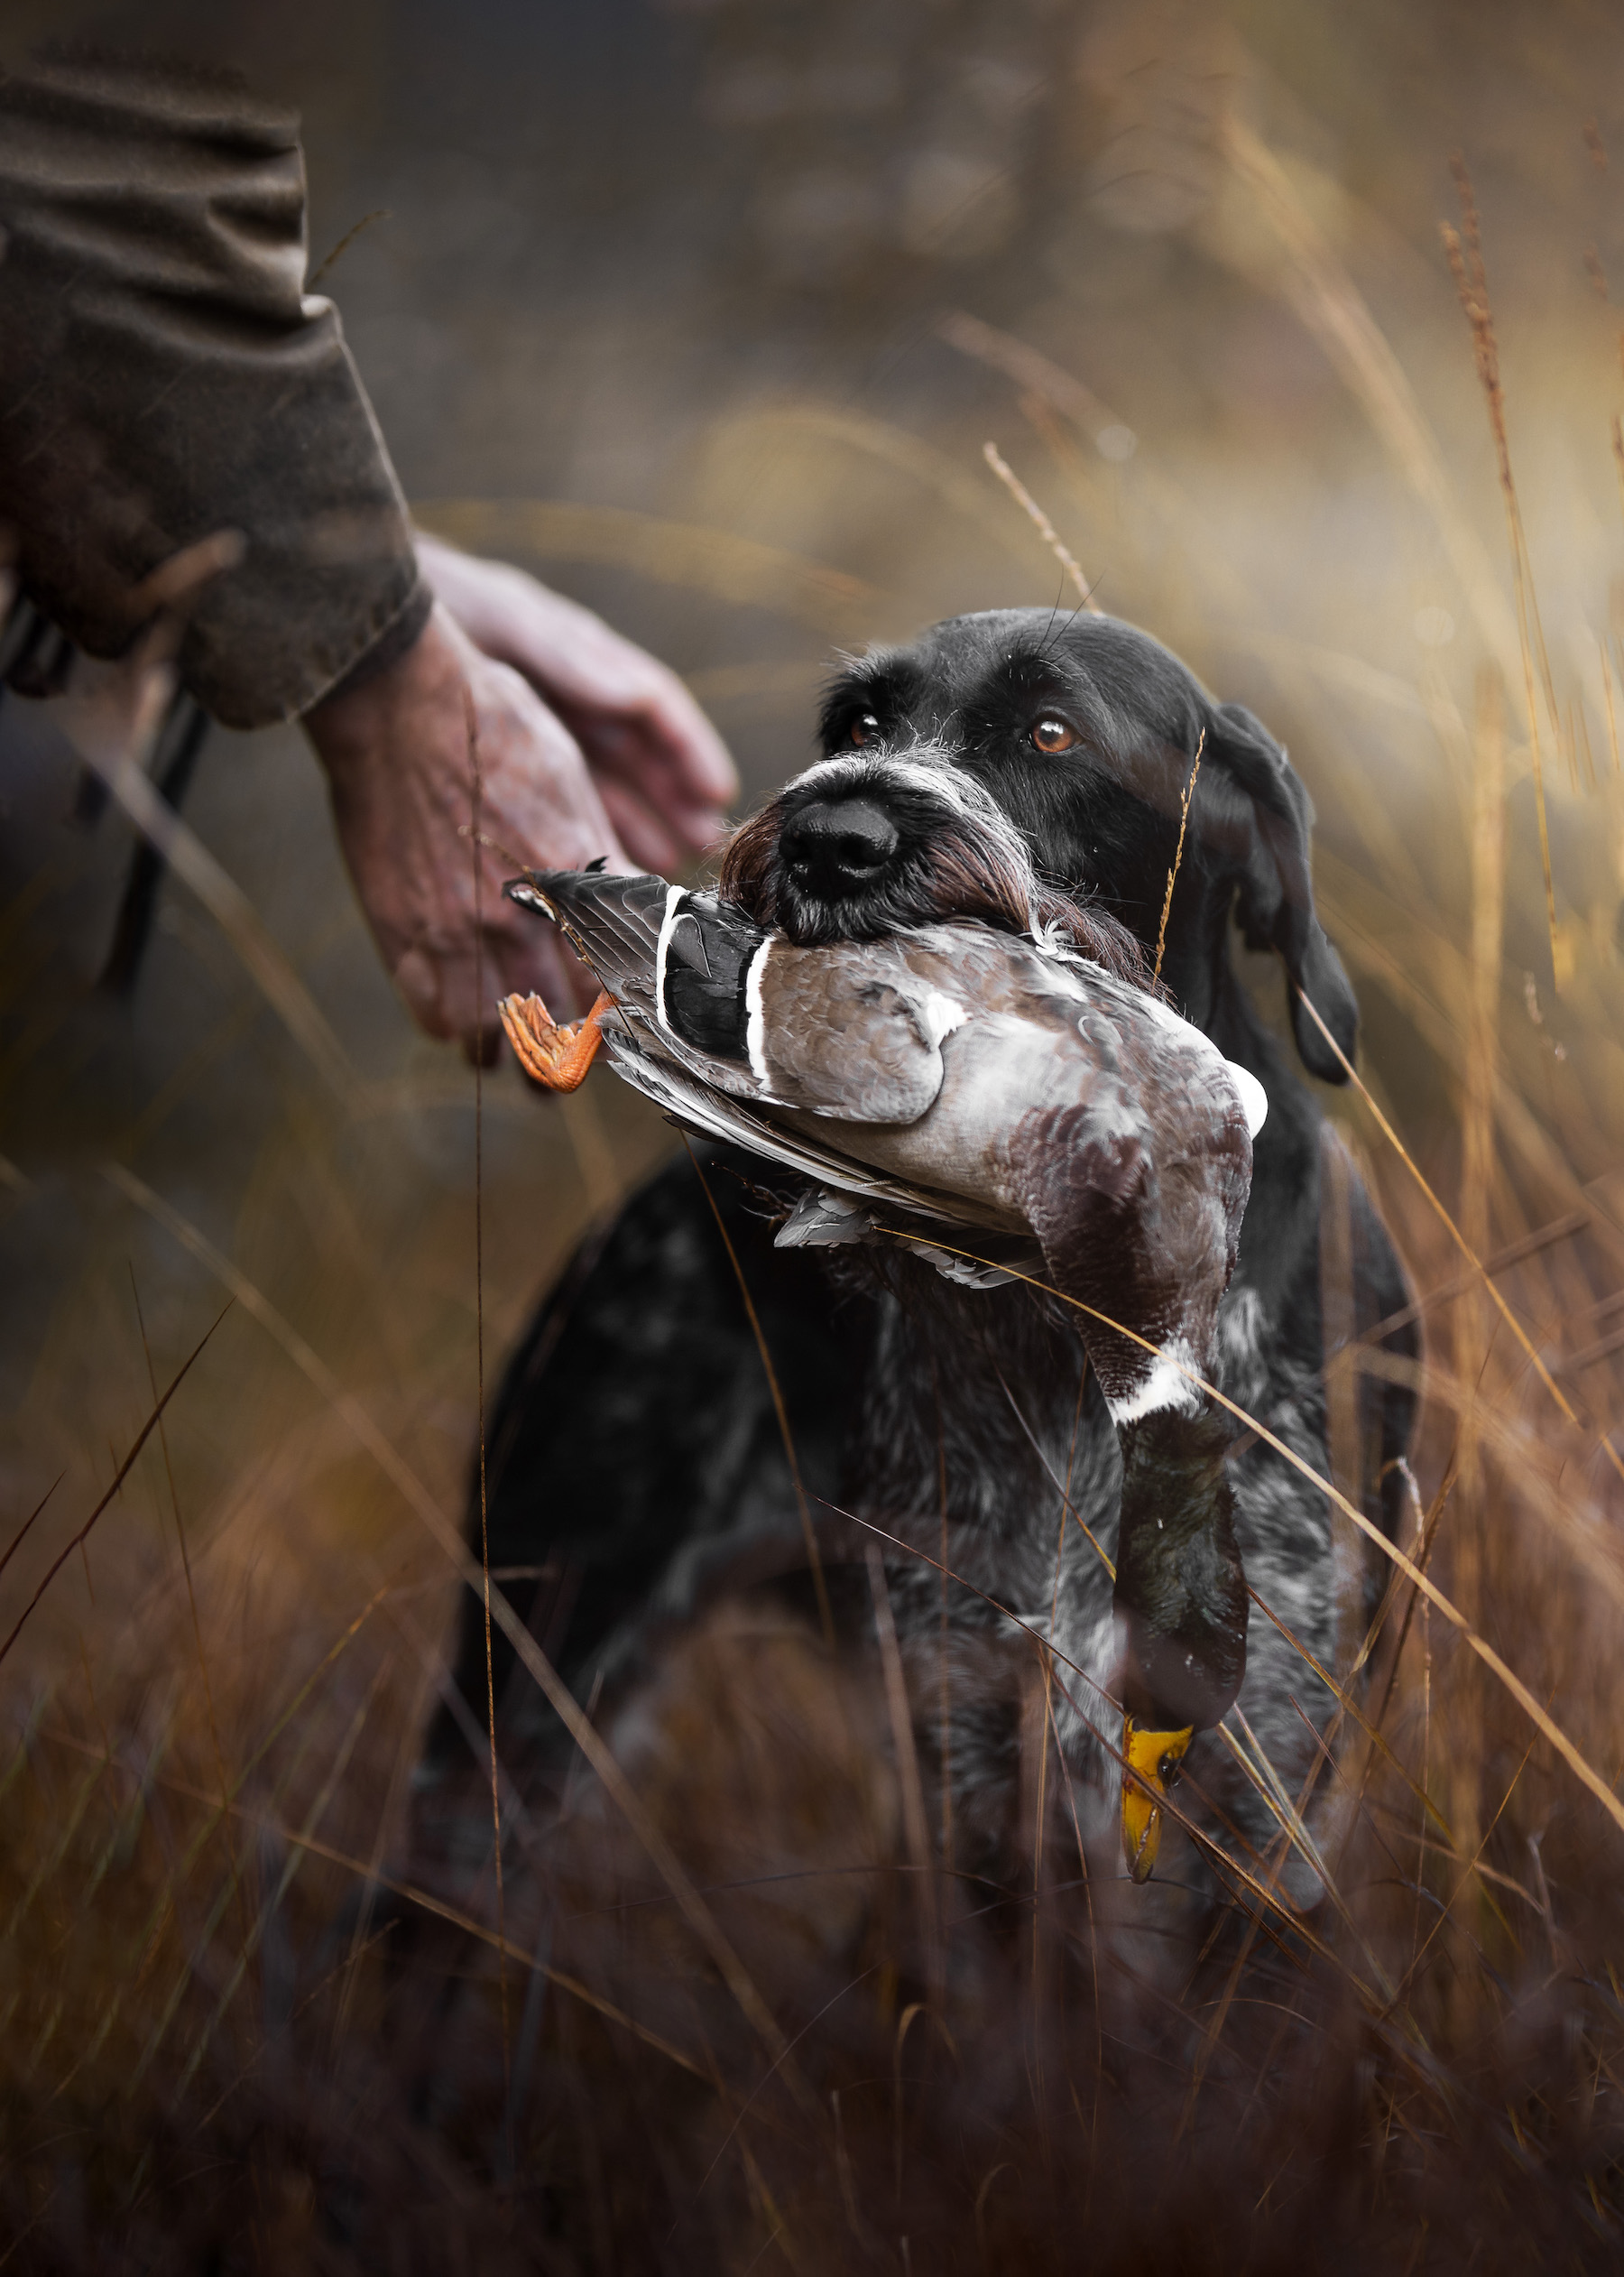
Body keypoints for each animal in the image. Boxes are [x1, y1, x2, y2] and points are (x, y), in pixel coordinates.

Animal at [419, 601, 1421, 1903]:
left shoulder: (1270, 1774)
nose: (831, 839)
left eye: (1051, 732)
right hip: (527, 1676)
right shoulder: (969, 1736)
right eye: (857, 724)